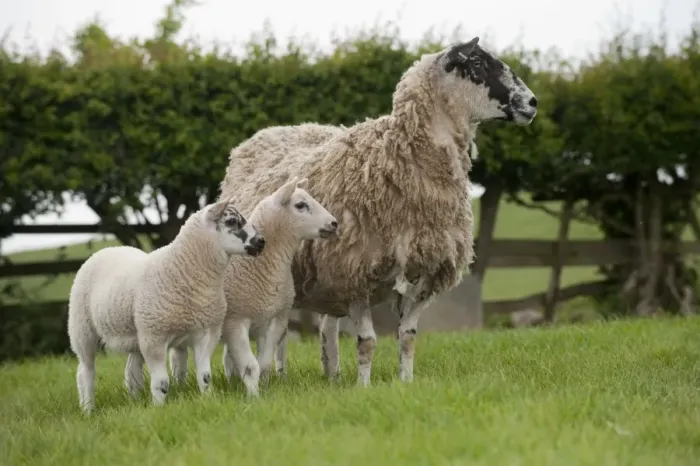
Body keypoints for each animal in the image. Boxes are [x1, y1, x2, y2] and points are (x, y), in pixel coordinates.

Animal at [67, 197, 266, 413]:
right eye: (231, 221)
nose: (261, 241)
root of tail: (109, 249)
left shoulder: (206, 333)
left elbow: (205, 377)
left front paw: (208, 400)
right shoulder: (154, 337)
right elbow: (161, 382)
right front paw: (159, 409)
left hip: (136, 333)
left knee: (132, 370)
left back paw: (134, 399)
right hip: (82, 329)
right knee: (85, 371)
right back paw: (88, 409)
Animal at [168, 176, 338, 396]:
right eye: (300, 205)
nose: (334, 223)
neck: (263, 269)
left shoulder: (275, 320)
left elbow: (263, 363)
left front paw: (263, 389)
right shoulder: (236, 321)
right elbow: (250, 365)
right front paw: (253, 396)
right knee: (177, 358)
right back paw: (178, 384)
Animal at [217, 36, 538, 387]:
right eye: (478, 64)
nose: (532, 102)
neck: (395, 158)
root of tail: (272, 131)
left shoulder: (423, 274)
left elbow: (408, 337)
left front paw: (405, 382)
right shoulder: (354, 271)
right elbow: (367, 341)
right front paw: (364, 387)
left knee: (322, 328)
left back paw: (330, 374)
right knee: (278, 332)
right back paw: (261, 375)